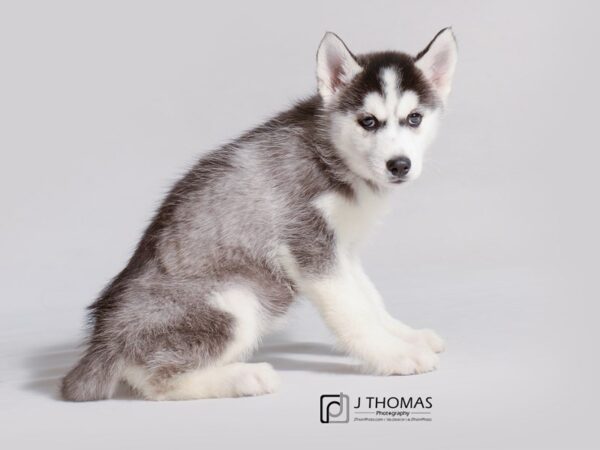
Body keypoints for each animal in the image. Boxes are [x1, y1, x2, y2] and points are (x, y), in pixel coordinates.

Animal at [62, 28, 460, 400]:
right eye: (368, 122)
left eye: (414, 118)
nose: (399, 165)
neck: (330, 154)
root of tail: (104, 337)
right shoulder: (308, 246)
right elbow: (351, 313)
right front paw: (394, 355)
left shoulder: (343, 250)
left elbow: (369, 300)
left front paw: (406, 336)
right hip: (237, 300)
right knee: (157, 381)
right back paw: (244, 377)